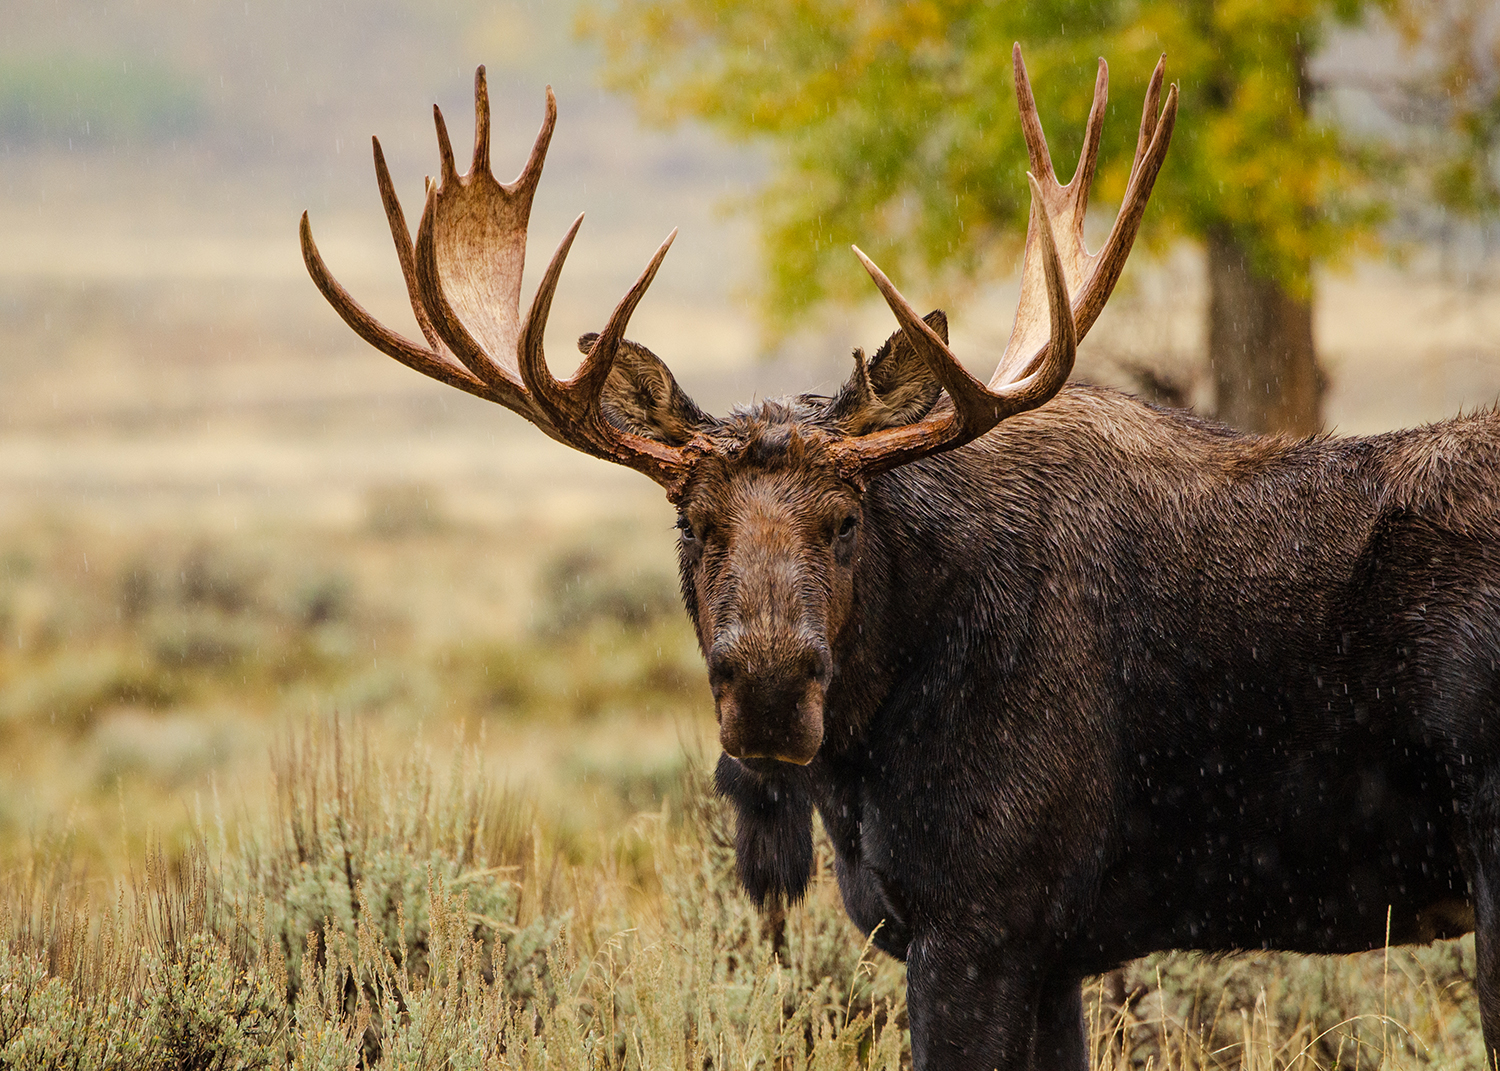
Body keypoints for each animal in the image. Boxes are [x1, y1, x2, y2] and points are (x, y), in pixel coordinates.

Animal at [300, 48, 1500, 1071]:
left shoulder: (979, 915)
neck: (871, 739)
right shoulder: (1053, 950)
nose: (769, 685)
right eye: (693, 522)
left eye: (845, 520)